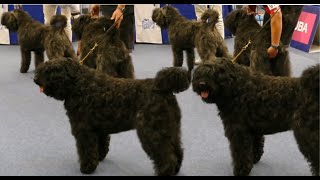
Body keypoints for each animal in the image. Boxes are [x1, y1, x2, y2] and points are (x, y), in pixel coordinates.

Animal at [34, 58, 190, 176]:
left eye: (50, 70)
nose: (35, 79)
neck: (79, 85)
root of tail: (162, 88)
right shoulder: (99, 129)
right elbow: (100, 145)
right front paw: (99, 158)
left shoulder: (84, 130)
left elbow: (86, 150)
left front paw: (87, 168)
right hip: (171, 129)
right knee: (178, 151)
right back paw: (176, 170)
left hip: (152, 132)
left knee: (166, 157)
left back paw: (164, 172)